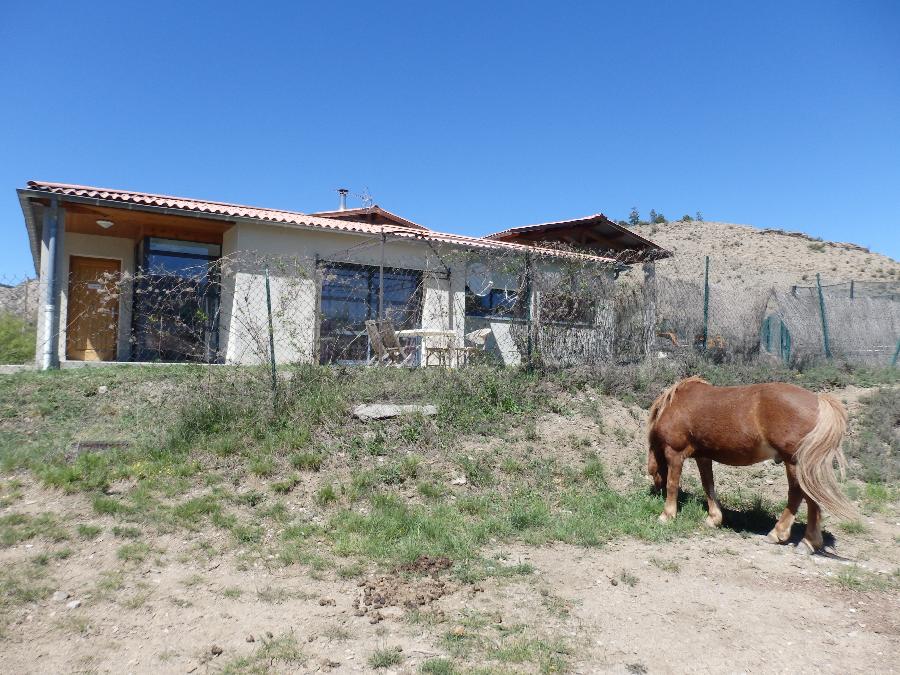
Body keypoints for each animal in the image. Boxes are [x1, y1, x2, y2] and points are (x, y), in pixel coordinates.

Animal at [648, 378, 852, 552]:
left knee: (799, 495)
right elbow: (708, 485)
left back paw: (788, 536)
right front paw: (714, 519)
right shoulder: (703, 456)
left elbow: (673, 484)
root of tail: (819, 400)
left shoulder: (675, 453)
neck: (675, 405)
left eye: (651, 472)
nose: (655, 491)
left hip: (794, 463)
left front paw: (667, 515)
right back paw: (808, 541)